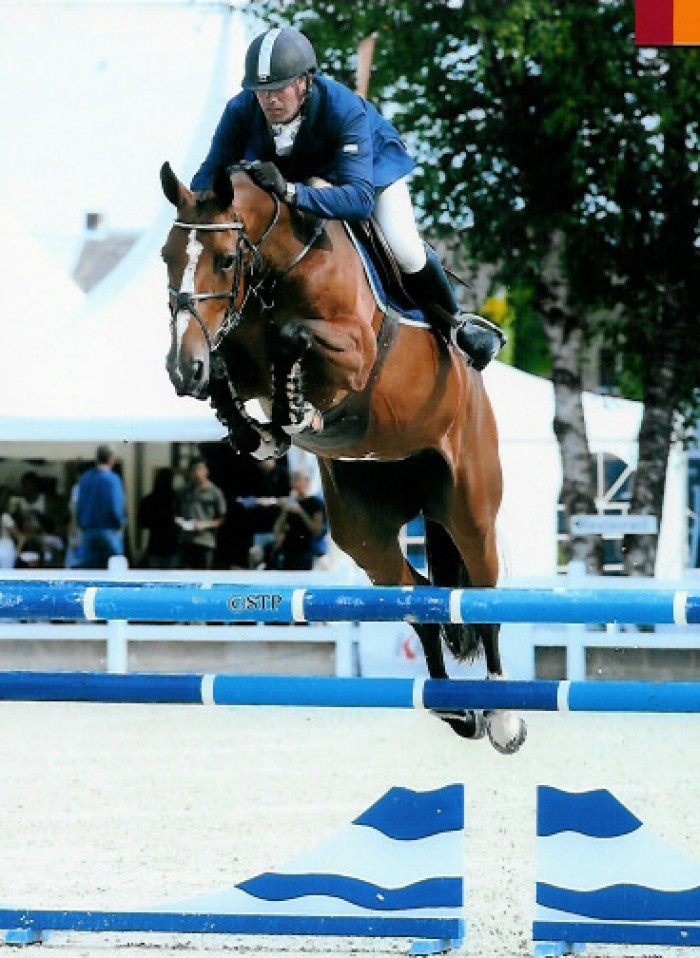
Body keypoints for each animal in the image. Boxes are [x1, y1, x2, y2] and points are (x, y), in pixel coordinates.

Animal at [159, 161, 526, 753]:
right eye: (166, 256)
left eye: (226, 259)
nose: (179, 367)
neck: (276, 267)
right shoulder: (237, 347)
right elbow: (228, 364)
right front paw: (256, 430)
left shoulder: (353, 351)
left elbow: (294, 338)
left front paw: (293, 409)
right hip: (363, 529)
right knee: (420, 600)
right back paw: (456, 709)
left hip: (469, 506)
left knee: (481, 594)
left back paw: (504, 715)